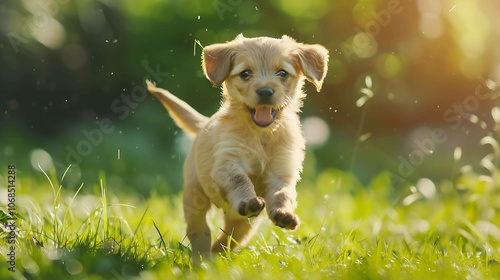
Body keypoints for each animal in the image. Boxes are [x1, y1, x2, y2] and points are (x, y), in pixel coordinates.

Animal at [146, 34, 330, 264]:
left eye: (282, 73)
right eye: (245, 73)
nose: (265, 91)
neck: (261, 135)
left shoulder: (282, 171)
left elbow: (283, 193)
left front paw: (284, 213)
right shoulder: (228, 163)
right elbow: (240, 180)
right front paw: (248, 199)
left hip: (245, 225)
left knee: (227, 240)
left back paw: (215, 260)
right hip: (195, 197)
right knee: (201, 231)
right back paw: (201, 261)